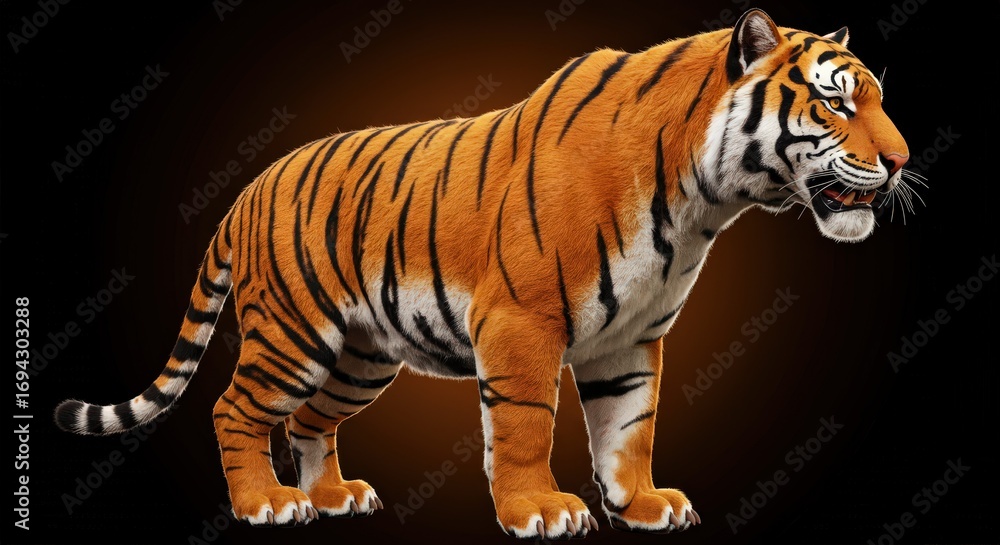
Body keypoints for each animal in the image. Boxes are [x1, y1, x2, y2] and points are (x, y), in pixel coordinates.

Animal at [55, 8, 909, 539]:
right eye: (836, 104)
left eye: (877, 99)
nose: (903, 161)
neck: (702, 199)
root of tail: (246, 190)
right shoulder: (523, 321)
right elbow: (527, 423)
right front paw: (540, 509)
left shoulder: (630, 338)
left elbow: (629, 427)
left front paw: (641, 502)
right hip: (292, 336)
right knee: (235, 408)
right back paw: (267, 502)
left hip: (360, 356)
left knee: (310, 422)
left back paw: (334, 497)